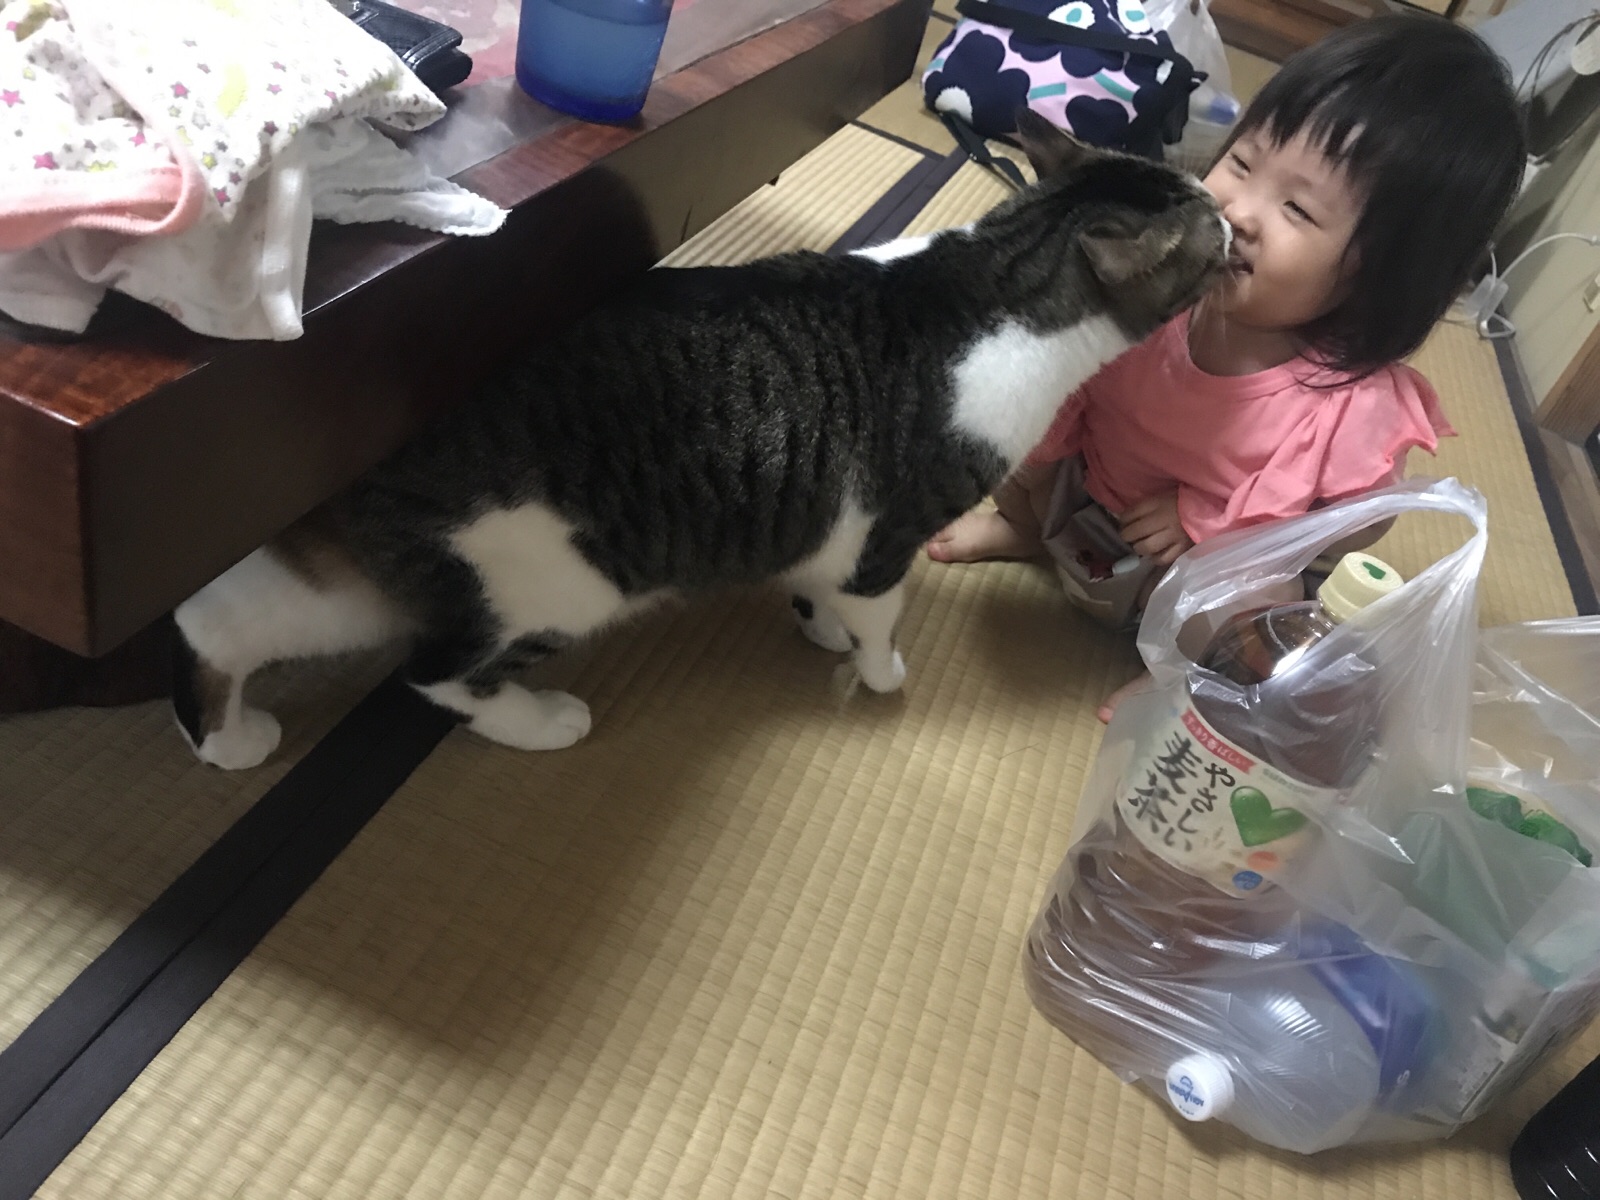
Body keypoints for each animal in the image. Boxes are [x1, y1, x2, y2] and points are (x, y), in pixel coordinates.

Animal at [173, 111, 1228, 769]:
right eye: (1214, 238)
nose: (1237, 230)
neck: (989, 285)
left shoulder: (830, 533)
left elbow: (818, 588)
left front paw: (818, 629)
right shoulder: (885, 542)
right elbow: (878, 622)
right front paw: (879, 674)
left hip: (363, 586)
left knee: (219, 622)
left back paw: (226, 740)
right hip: (550, 582)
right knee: (434, 676)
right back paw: (540, 723)